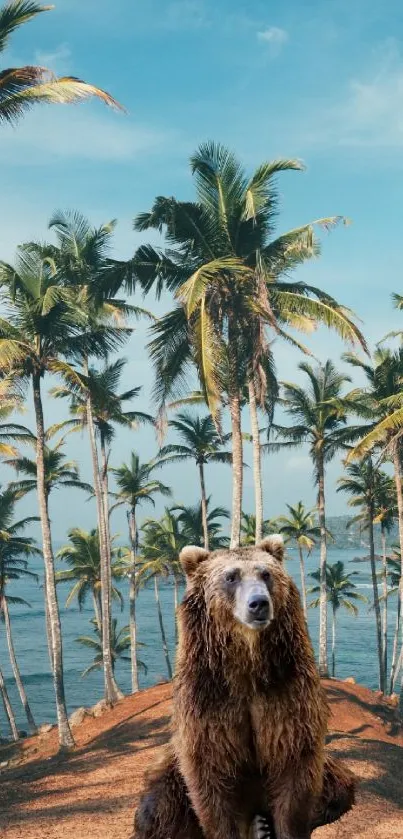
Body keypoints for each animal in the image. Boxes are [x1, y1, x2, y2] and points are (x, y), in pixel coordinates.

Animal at [134, 540, 356, 839]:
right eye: (231, 577)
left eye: (266, 574)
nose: (259, 603)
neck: (247, 665)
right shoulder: (209, 698)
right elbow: (211, 775)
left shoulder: (286, 691)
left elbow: (294, 766)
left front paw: (286, 827)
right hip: (170, 772)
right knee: (159, 809)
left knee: (339, 786)